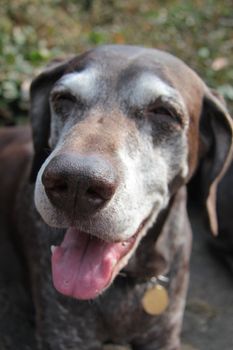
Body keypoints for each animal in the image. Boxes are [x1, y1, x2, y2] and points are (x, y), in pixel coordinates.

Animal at [0, 45, 232, 348]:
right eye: (64, 98)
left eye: (164, 112)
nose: (76, 182)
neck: (130, 279)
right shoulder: (63, 336)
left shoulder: (164, 336)